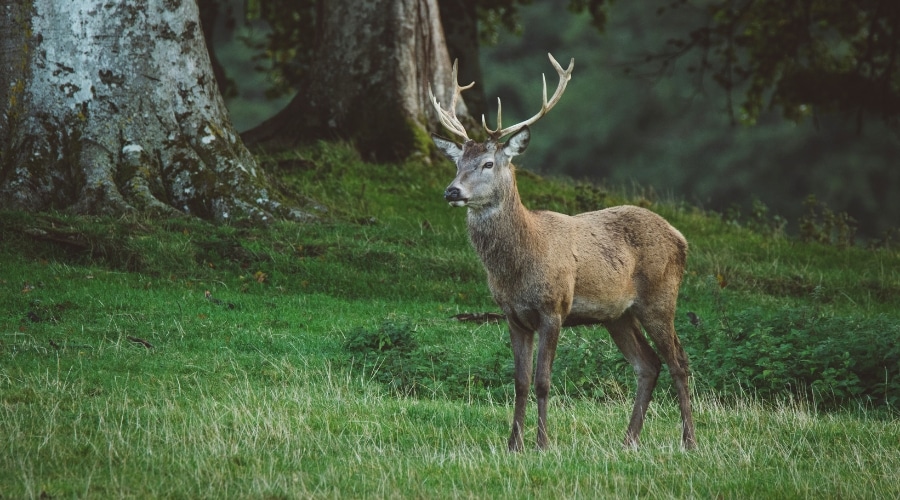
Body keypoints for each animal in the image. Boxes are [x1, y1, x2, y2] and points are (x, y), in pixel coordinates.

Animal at [428, 52, 696, 452]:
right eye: (457, 163)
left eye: (488, 163)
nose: (452, 191)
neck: (518, 265)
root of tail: (681, 238)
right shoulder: (512, 315)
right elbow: (520, 382)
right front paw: (513, 444)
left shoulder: (553, 308)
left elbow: (543, 381)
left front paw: (542, 443)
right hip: (618, 314)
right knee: (648, 364)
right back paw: (628, 440)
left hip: (660, 298)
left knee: (679, 359)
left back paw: (688, 441)